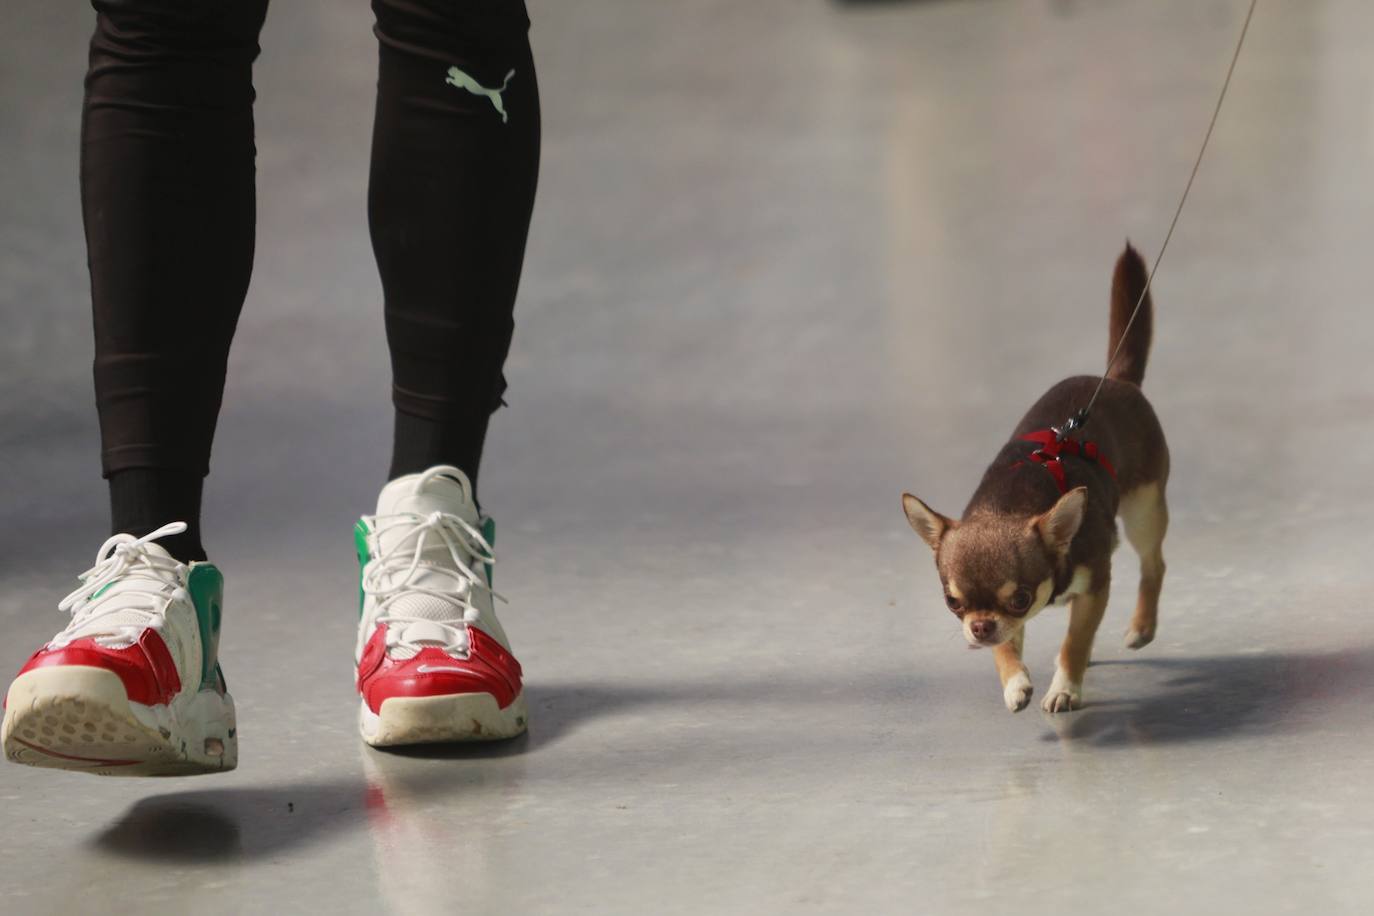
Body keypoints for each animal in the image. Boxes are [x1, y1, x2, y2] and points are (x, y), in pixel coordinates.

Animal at [901, 245, 1170, 714]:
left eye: (1021, 598)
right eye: (953, 603)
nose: (978, 628)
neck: (1012, 503)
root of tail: (1116, 380)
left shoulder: (1094, 586)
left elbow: (1073, 643)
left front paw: (1064, 687)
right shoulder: (1004, 623)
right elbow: (1006, 647)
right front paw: (1014, 682)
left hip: (1144, 509)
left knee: (1154, 563)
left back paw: (1142, 626)